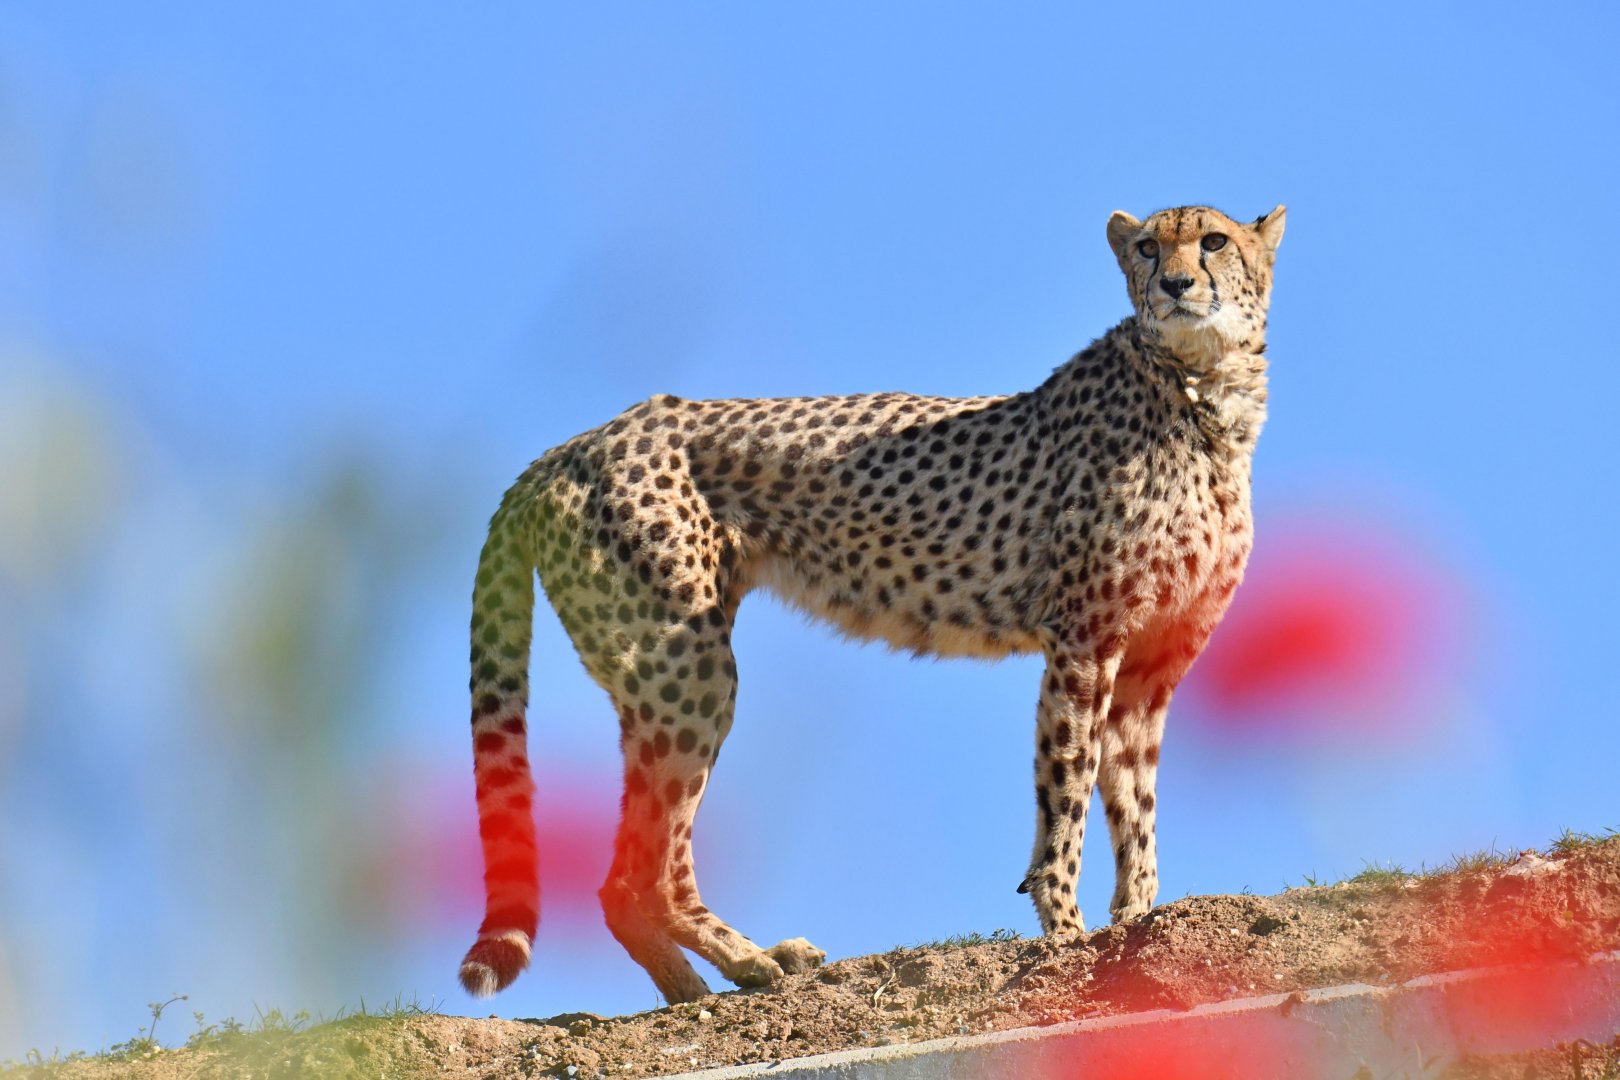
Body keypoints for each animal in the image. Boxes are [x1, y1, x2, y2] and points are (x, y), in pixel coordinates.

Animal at [457, 203, 1287, 1004]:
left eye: (1214, 241)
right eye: (1149, 247)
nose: (1176, 284)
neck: (1203, 391)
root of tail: (571, 446)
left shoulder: (1150, 668)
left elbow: (1134, 806)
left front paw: (1138, 923)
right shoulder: (1082, 644)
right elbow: (1068, 793)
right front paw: (1066, 932)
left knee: (639, 869)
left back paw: (713, 980)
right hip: (684, 666)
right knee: (634, 871)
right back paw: (737, 969)